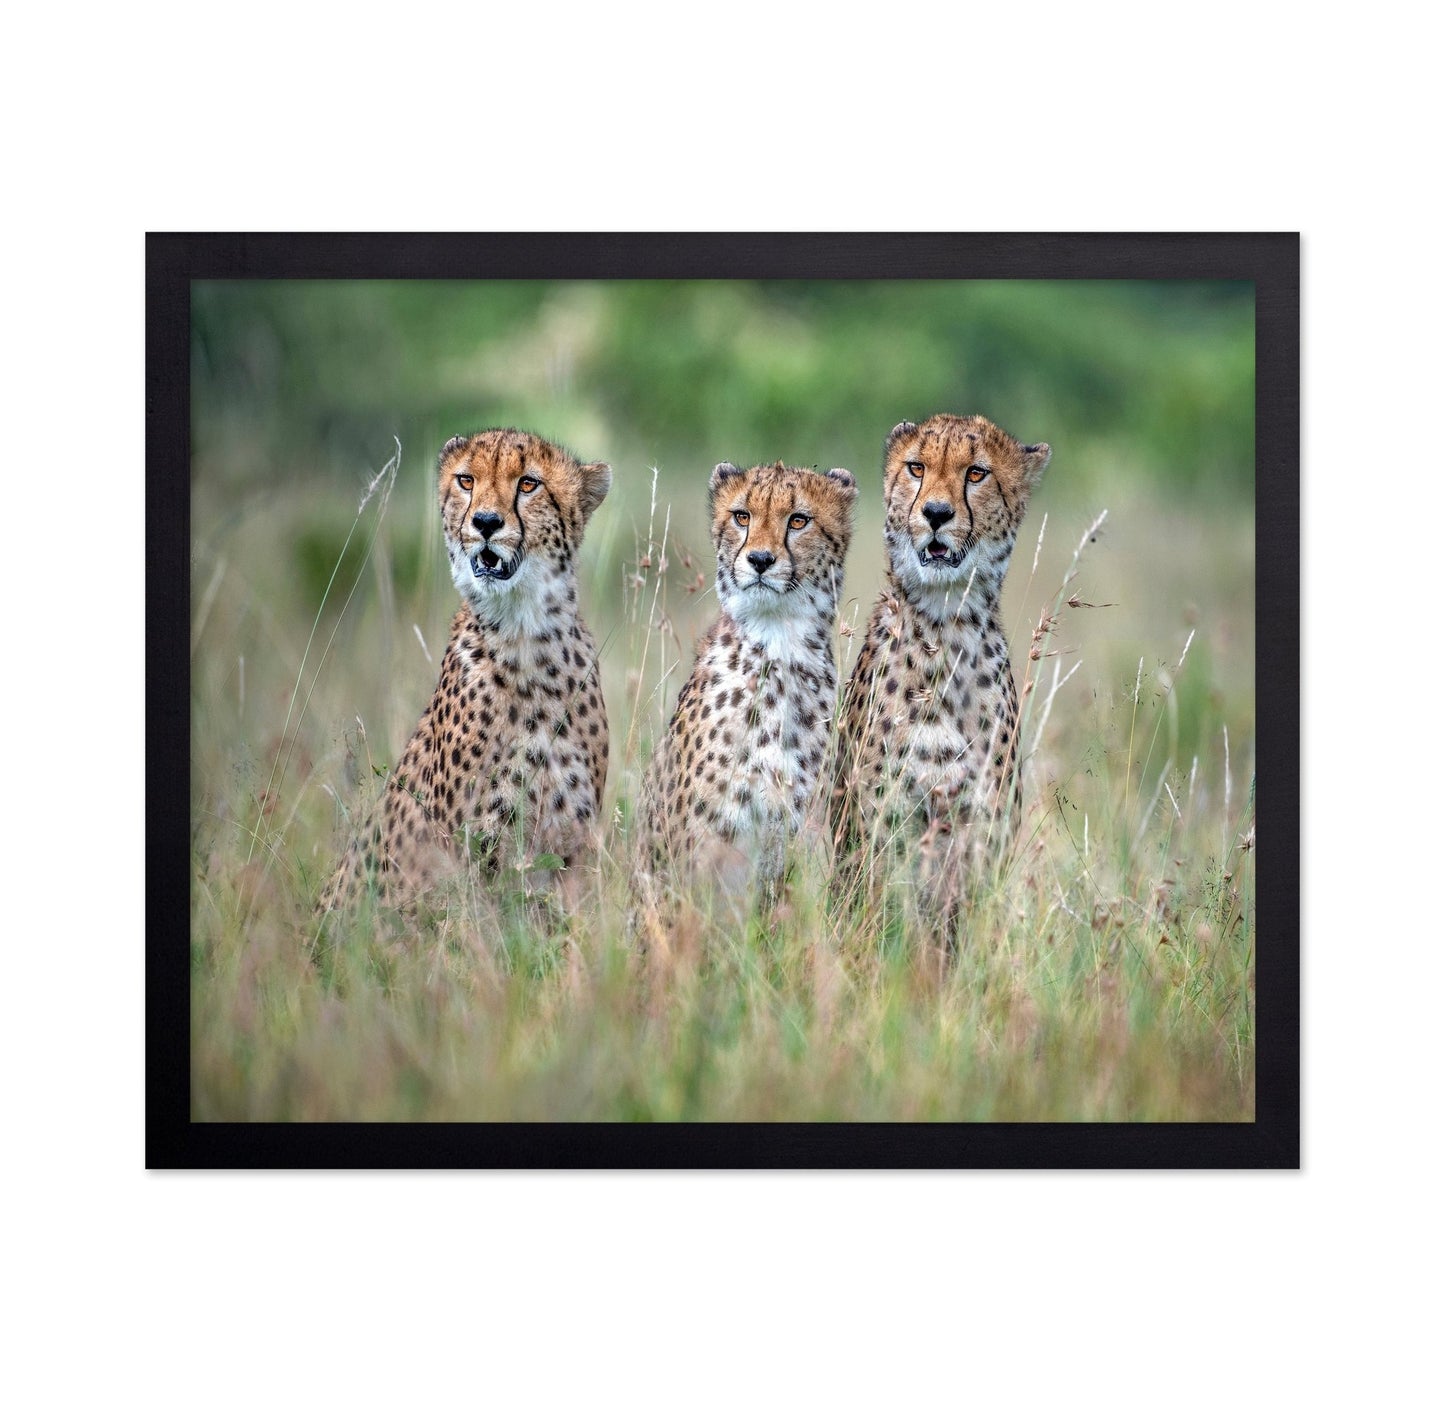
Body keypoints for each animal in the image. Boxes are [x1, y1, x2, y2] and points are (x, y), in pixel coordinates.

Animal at [318, 428, 613, 917]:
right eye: (466, 480)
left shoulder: (574, 846)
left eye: (528, 484)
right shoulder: (471, 849)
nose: (486, 522)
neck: (525, 633)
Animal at [831, 413, 1051, 921]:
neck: (946, 625)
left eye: (976, 473)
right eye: (917, 468)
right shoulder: (884, 832)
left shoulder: (982, 833)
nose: (935, 513)